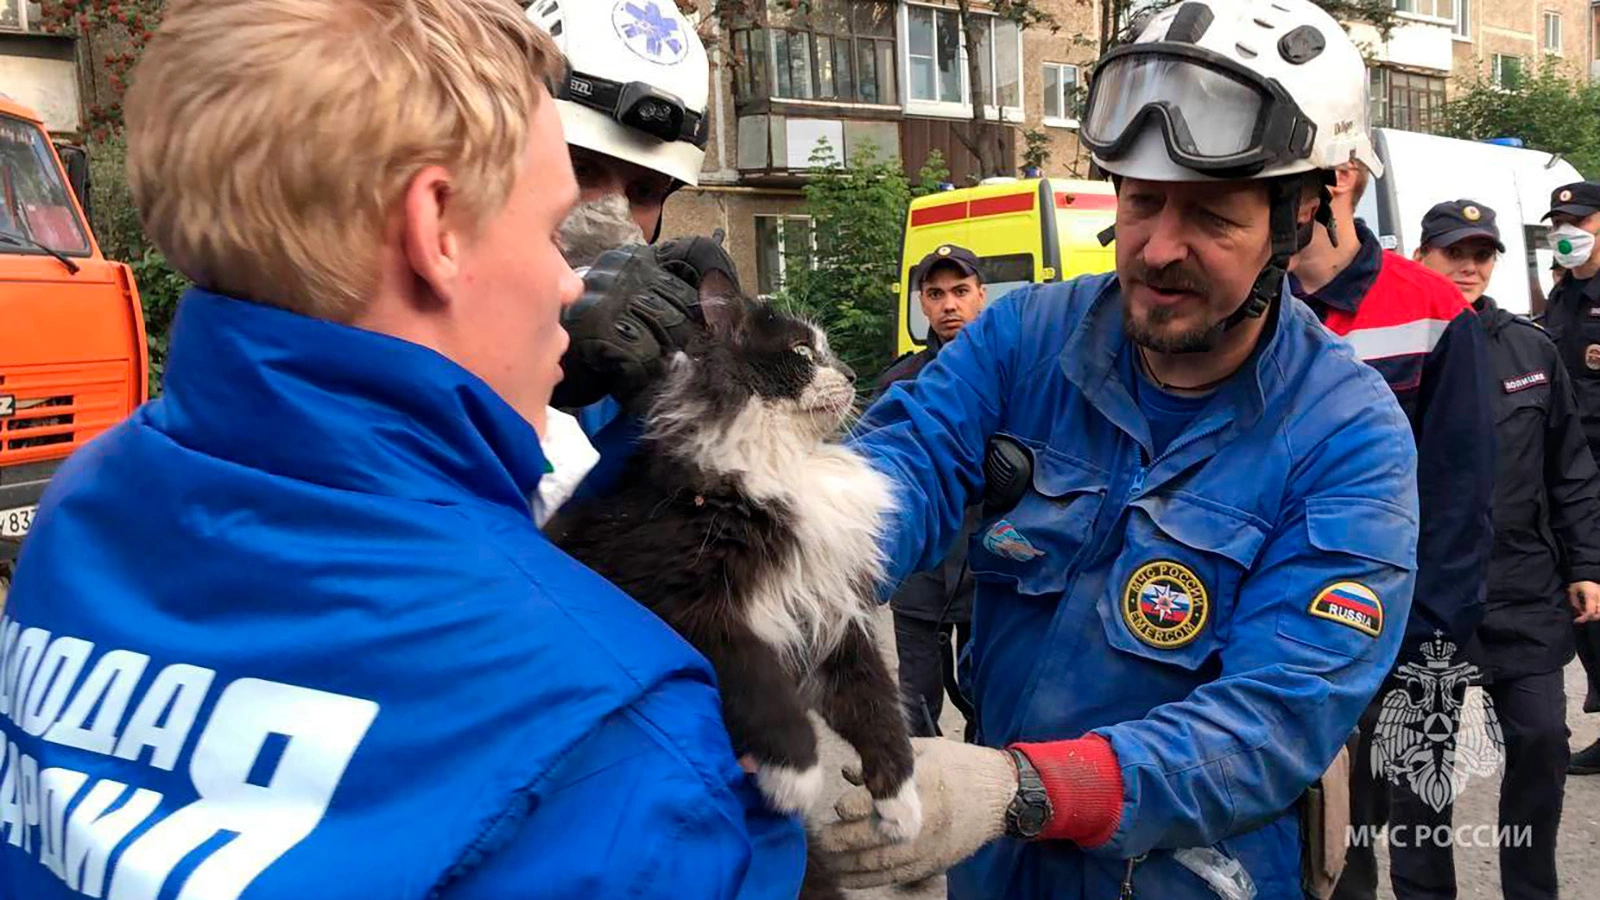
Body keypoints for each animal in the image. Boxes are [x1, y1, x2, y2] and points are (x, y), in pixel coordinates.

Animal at [547, 283, 921, 871]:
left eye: (828, 351)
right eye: (801, 352)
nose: (851, 374)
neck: (789, 463)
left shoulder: (833, 610)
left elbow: (877, 704)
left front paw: (902, 806)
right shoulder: (691, 607)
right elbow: (762, 687)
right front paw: (795, 782)